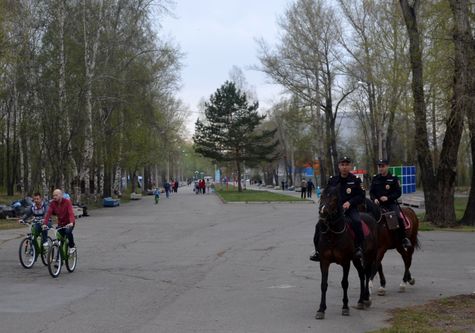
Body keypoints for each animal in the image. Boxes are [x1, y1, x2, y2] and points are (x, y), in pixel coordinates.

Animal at [316, 185, 380, 318]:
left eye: (334, 198)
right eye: (322, 196)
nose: (322, 213)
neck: (332, 235)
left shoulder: (346, 262)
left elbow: (344, 283)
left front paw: (345, 307)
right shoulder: (324, 261)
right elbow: (323, 284)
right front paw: (321, 309)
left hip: (369, 256)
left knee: (367, 274)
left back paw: (366, 299)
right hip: (356, 259)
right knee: (362, 274)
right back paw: (361, 300)